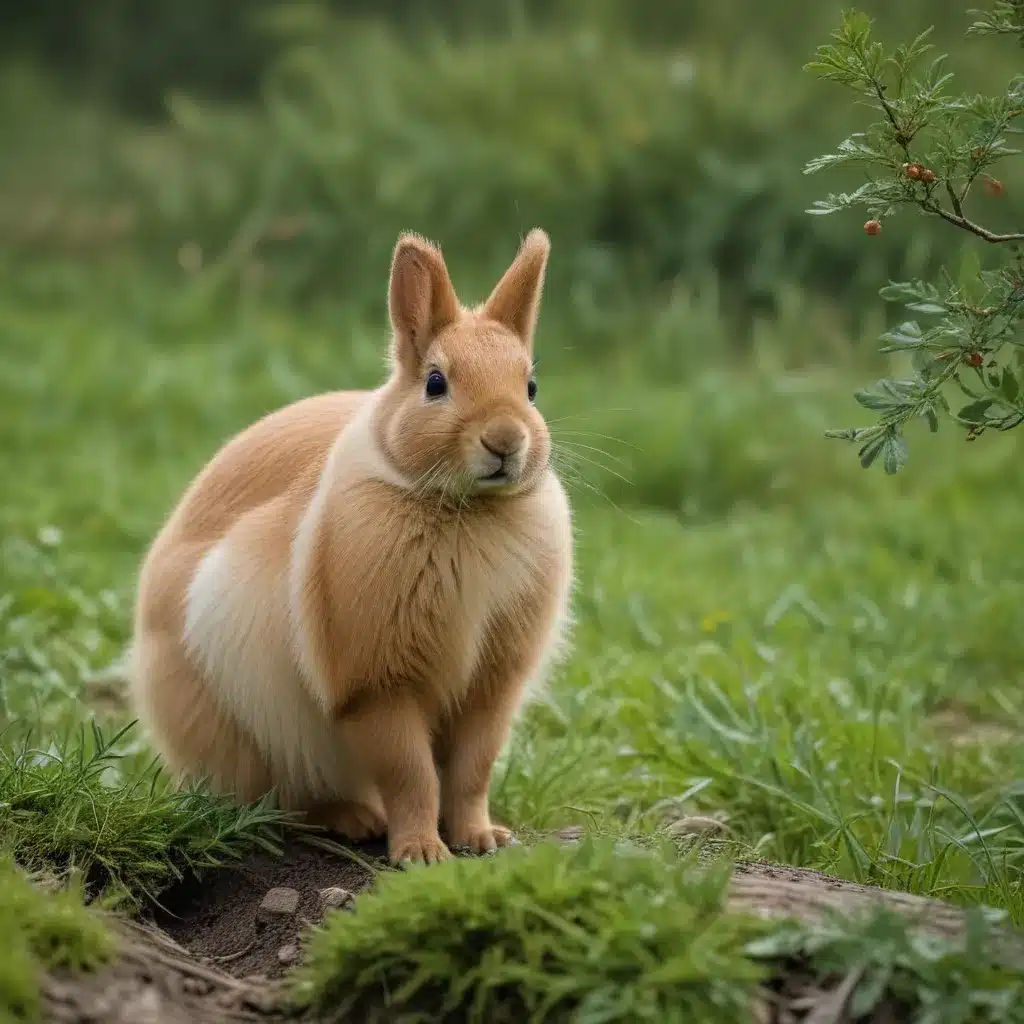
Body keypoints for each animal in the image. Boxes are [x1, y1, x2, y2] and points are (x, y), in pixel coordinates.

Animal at [129, 230, 577, 864]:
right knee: (285, 801)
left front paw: (482, 839)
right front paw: (421, 853)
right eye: (436, 383)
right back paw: (354, 819)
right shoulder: (374, 688)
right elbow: (411, 773)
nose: (505, 440)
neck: (463, 508)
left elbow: (472, 769)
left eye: (531, 388)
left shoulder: (492, 689)